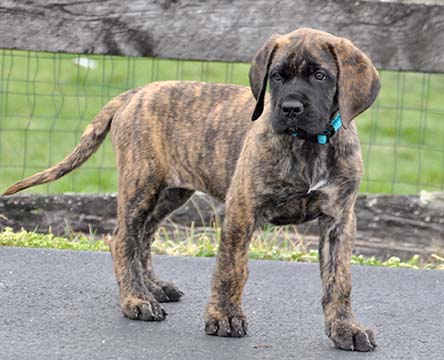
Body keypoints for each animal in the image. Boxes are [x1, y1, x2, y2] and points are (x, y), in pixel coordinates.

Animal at [3, 28, 378, 352]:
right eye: (277, 77)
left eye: (320, 76)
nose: (289, 109)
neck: (308, 146)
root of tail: (134, 93)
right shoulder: (243, 209)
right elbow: (231, 268)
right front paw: (225, 317)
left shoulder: (339, 220)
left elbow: (339, 281)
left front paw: (345, 328)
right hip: (141, 182)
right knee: (123, 238)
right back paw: (137, 299)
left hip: (171, 191)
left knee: (144, 235)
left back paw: (152, 287)